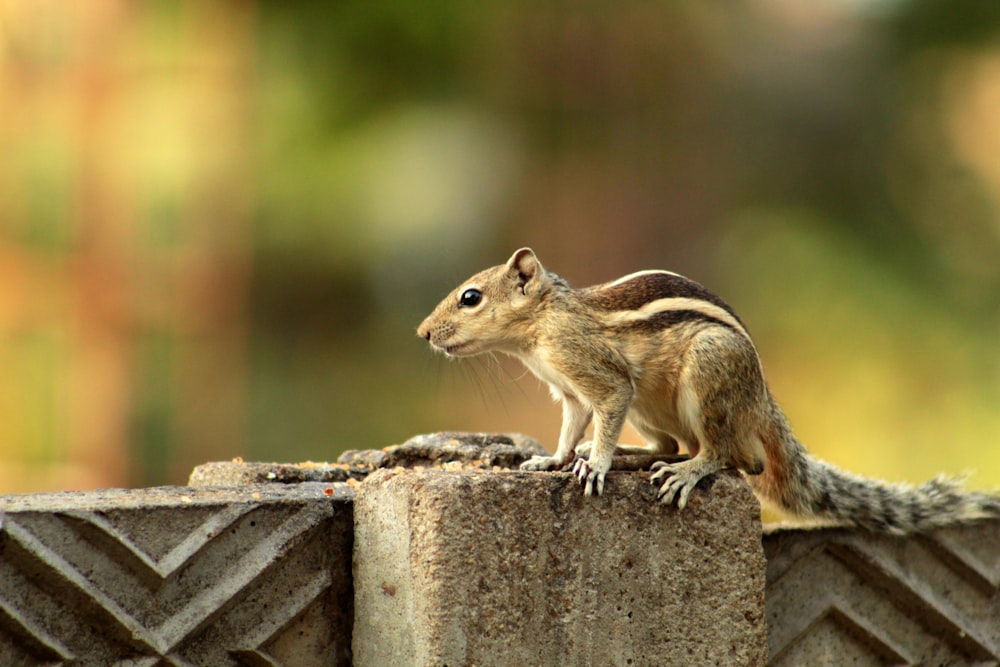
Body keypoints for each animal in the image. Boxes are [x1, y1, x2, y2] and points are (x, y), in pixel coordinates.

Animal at [416, 248, 1000, 536]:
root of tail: (762, 400)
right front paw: (554, 460)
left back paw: (685, 473)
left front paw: (597, 464)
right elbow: (569, 431)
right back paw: (635, 457)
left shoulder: (603, 381)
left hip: (707, 373)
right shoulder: (571, 395)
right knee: (671, 445)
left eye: (470, 297)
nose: (422, 333)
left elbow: (604, 415)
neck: (542, 324)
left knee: (729, 456)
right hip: (651, 408)